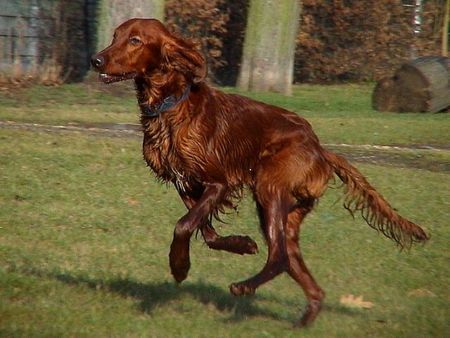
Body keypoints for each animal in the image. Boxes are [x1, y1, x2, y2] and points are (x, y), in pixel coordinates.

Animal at [89, 19, 428, 328]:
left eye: (135, 40)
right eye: (115, 36)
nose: (96, 60)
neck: (173, 106)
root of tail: (320, 148)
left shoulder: (219, 182)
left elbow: (184, 225)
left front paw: (179, 266)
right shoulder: (184, 184)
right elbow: (207, 233)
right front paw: (241, 244)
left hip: (269, 188)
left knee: (279, 256)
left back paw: (245, 286)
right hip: (286, 213)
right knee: (303, 275)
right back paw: (301, 324)